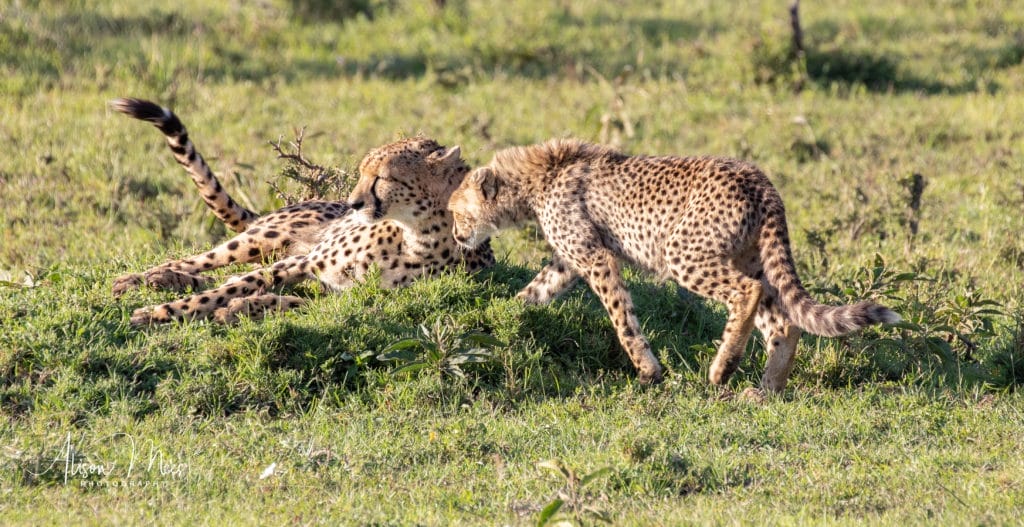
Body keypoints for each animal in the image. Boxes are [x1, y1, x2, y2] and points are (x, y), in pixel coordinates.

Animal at [110, 97, 494, 325]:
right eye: (362, 172)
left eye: (381, 177)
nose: (353, 204)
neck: (417, 236)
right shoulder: (306, 262)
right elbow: (228, 289)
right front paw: (158, 312)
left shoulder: (343, 293)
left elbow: (295, 302)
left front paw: (242, 308)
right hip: (264, 238)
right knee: (202, 263)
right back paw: (145, 278)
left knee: (223, 274)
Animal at [447, 138, 900, 394]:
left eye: (455, 212)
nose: (455, 235)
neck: (536, 178)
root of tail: (758, 179)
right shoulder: (570, 259)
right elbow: (535, 289)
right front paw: (499, 319)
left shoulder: (595, 258)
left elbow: (622, 319)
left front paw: (648, 370)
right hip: (753, 258)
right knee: (783, 323)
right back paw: (766, 390)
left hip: (684, 254)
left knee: (746, 293)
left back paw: (722, 368)